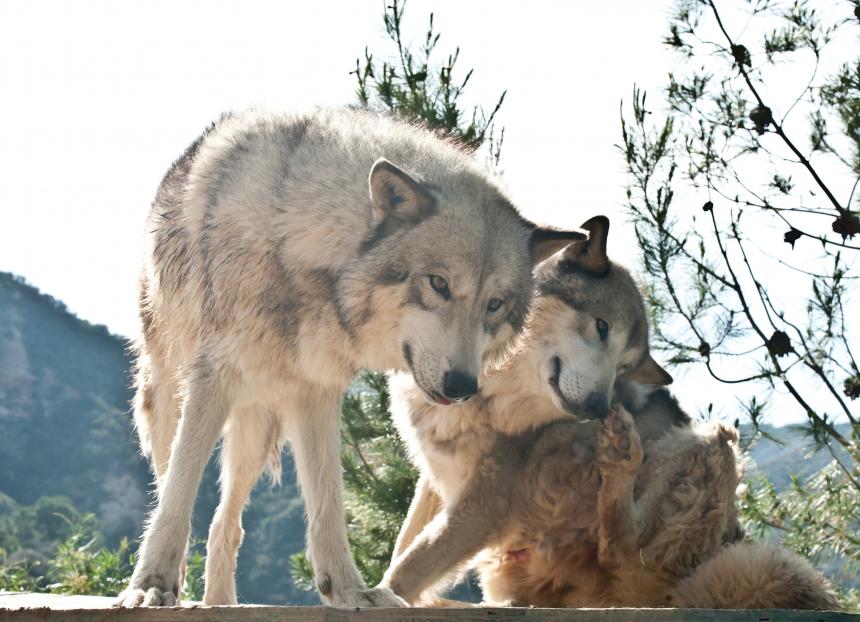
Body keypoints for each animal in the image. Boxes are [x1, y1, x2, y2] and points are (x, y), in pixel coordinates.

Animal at [118, 108, 586, 608]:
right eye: (438, 284)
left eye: (494, 304)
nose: (462, 386)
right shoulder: (213, 377)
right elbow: (179, 491)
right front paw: (151, 584)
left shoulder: (316, 391)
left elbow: (328, 500)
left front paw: (348, 589)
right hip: (168, 397)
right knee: (170, 484)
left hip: (255, 432)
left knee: (227, 523)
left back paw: (220, 603)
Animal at [382, 216, 838, 610]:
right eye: (602, 327)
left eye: (624, 366)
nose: (599, 407)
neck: (489, 394)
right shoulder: (434, 479)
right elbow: (405, 546)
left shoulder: (486, 502)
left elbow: (412, 564)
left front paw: (381, 596)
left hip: (710, 440)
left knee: (626, 553)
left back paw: (620, 456)